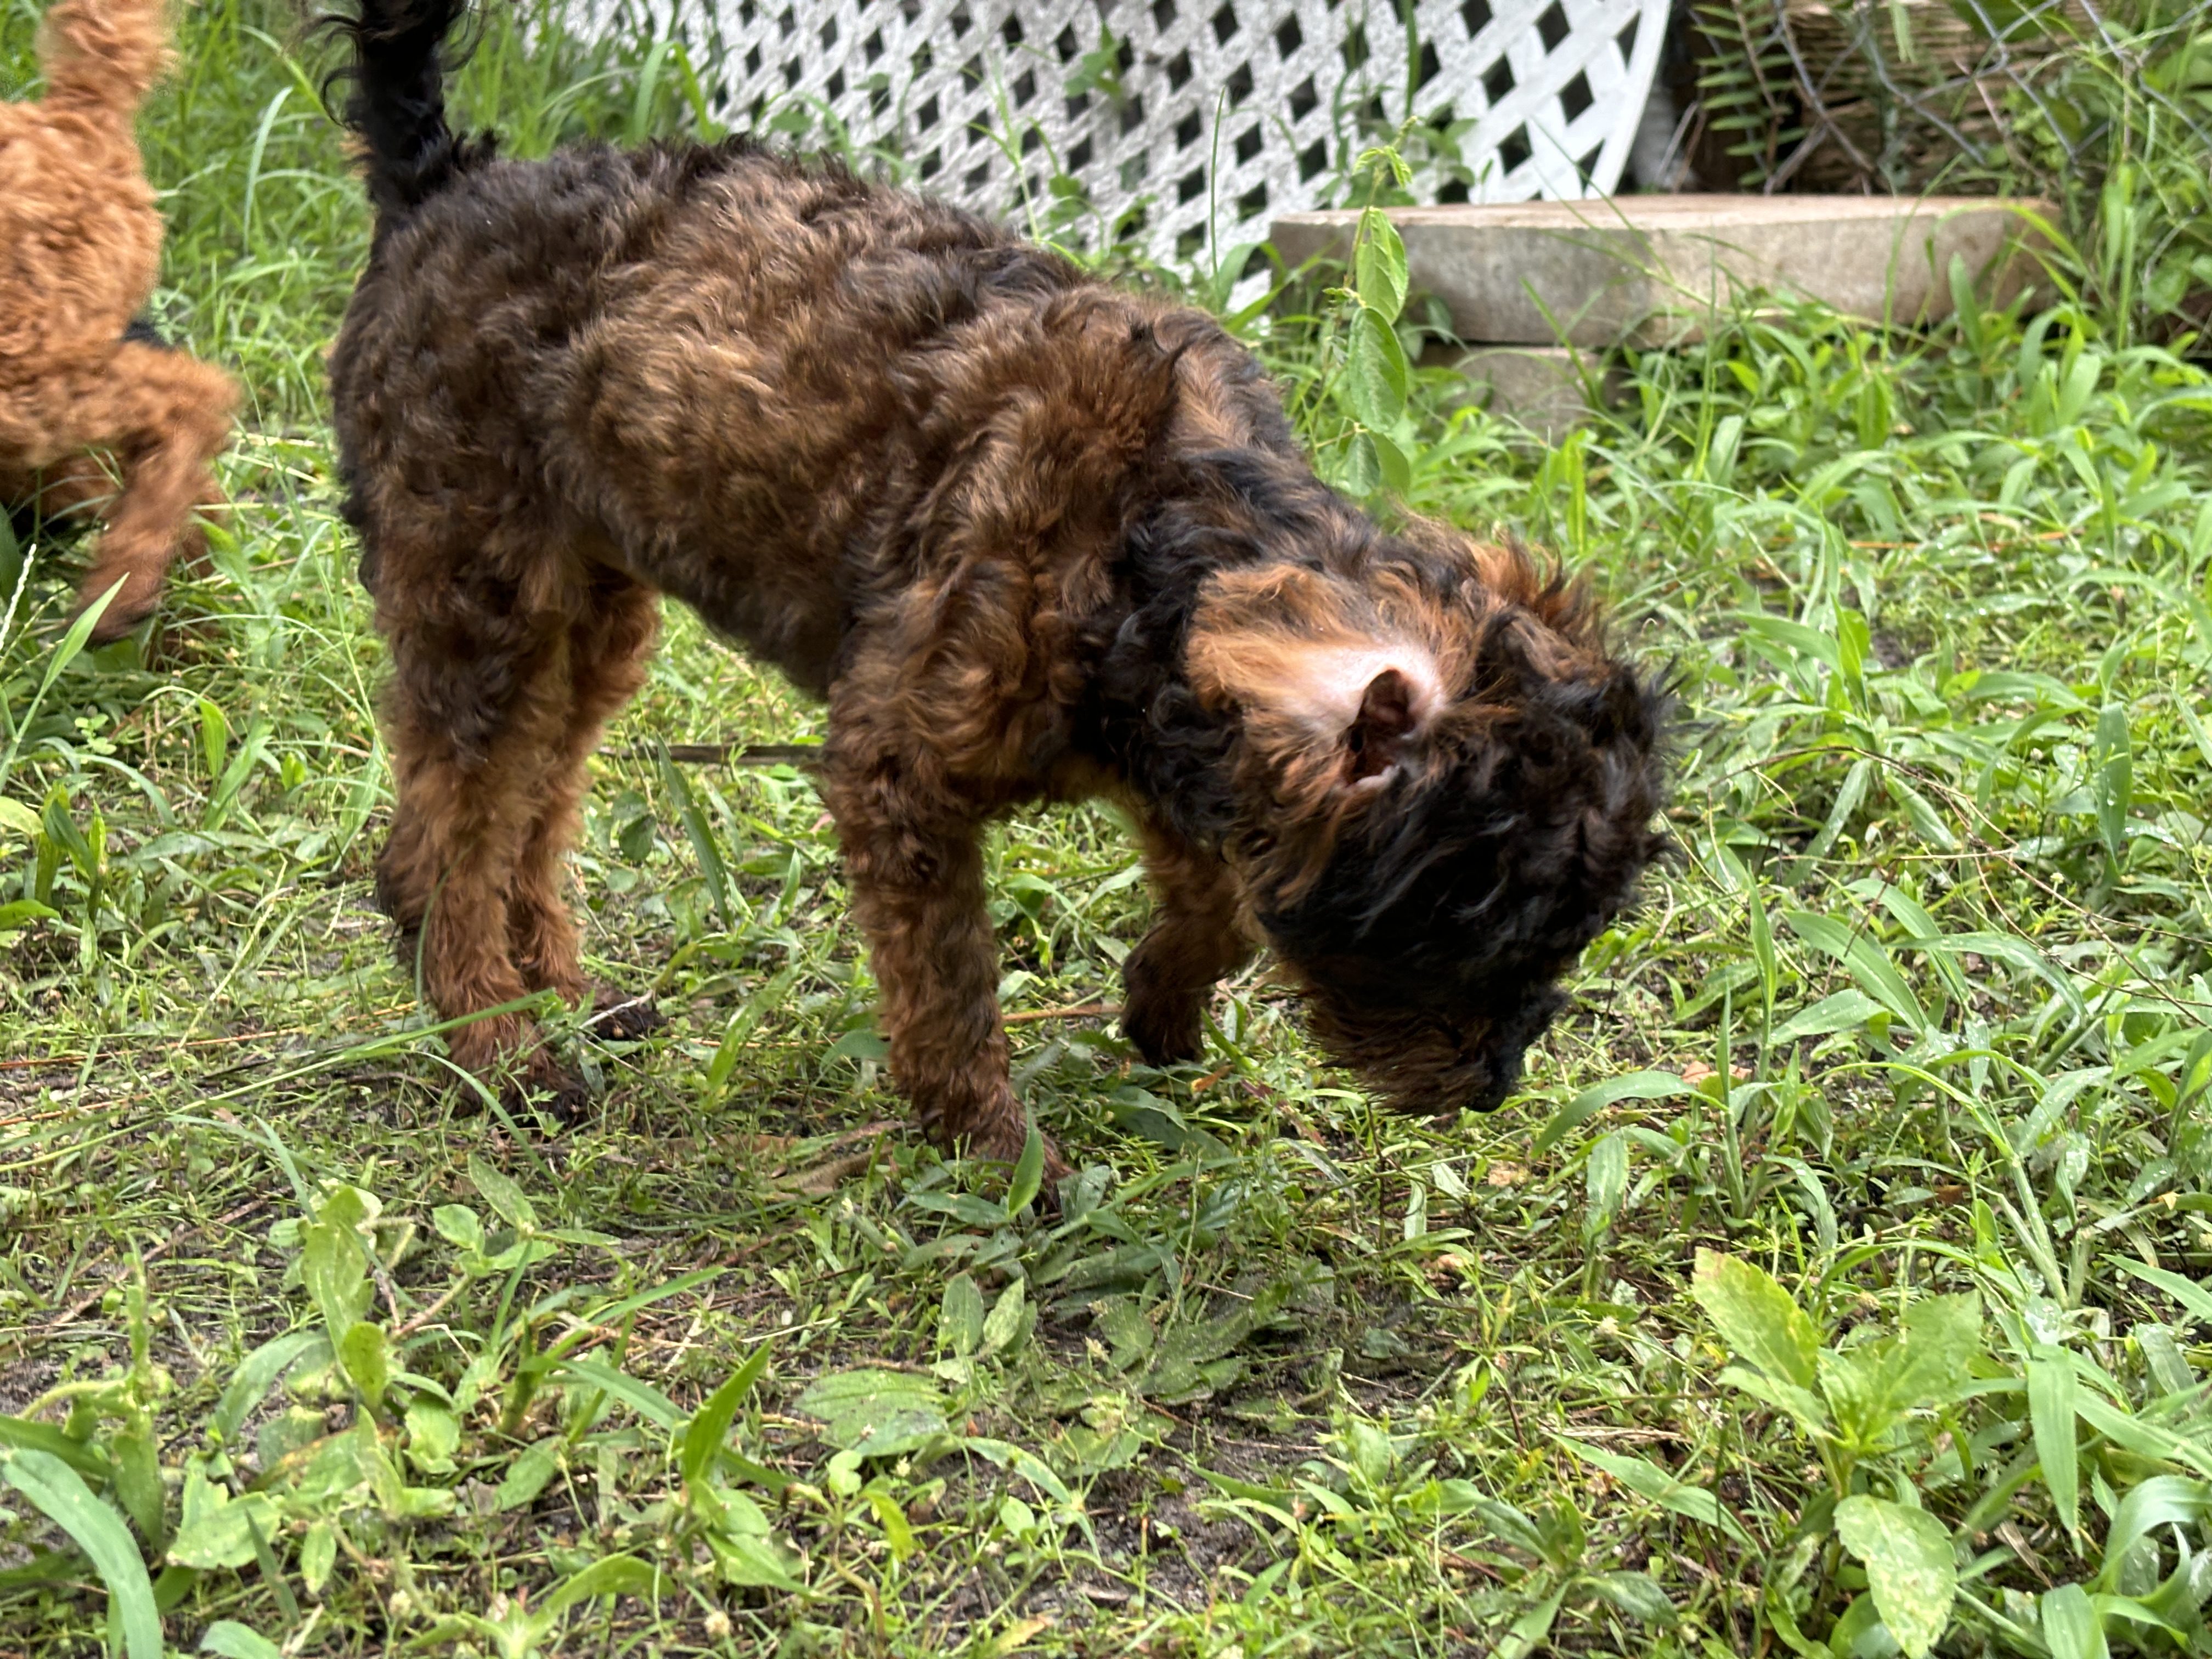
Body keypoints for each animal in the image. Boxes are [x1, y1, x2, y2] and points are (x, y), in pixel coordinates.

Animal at [327, 0, 1663, 1177]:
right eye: (1468, 939)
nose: (1494, 1086)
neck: (1151, 530)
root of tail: (443, 180)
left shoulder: (1172, 755)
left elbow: (1219, 902)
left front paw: (1161, 1011)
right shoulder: (900, 772)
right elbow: (953, 989)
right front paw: (998, 1150)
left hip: (591, 604)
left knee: (523, 788)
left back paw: (556, 983)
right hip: (481, 573)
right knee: (464, 813)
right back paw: (494, 1037)